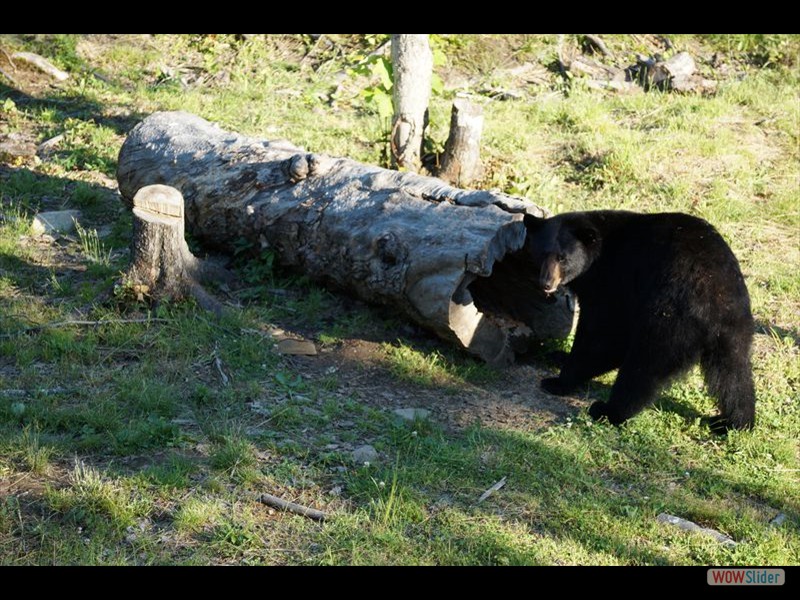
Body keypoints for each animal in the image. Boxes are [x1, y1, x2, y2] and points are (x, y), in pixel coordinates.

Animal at [524, 211, 756, 432]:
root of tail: (715, 305)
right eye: (542, 254)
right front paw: (558, 355)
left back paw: (609, 411)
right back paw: (733, 422)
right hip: (735, 330)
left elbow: (604, 334)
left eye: (562, 258)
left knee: (645, 366)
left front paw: (558, 381)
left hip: (671, 317)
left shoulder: (614, 281)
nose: (546, 283)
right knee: (734, 375)